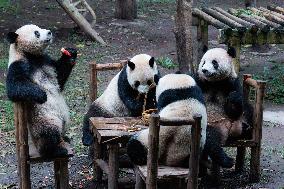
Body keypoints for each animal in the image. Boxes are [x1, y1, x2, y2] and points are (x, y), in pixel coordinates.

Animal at [6, 24, 77, 158]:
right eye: (36, 32)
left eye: (40, 28)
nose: (49, 32)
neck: (31, 56)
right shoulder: (19, 64)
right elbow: (14, 87)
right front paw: (41, 95)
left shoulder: (46, 61)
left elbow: (59, 77)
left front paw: (70, 53)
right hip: (44, 119)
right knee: (48, 134)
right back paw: (55, 150)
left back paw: (65, 138)